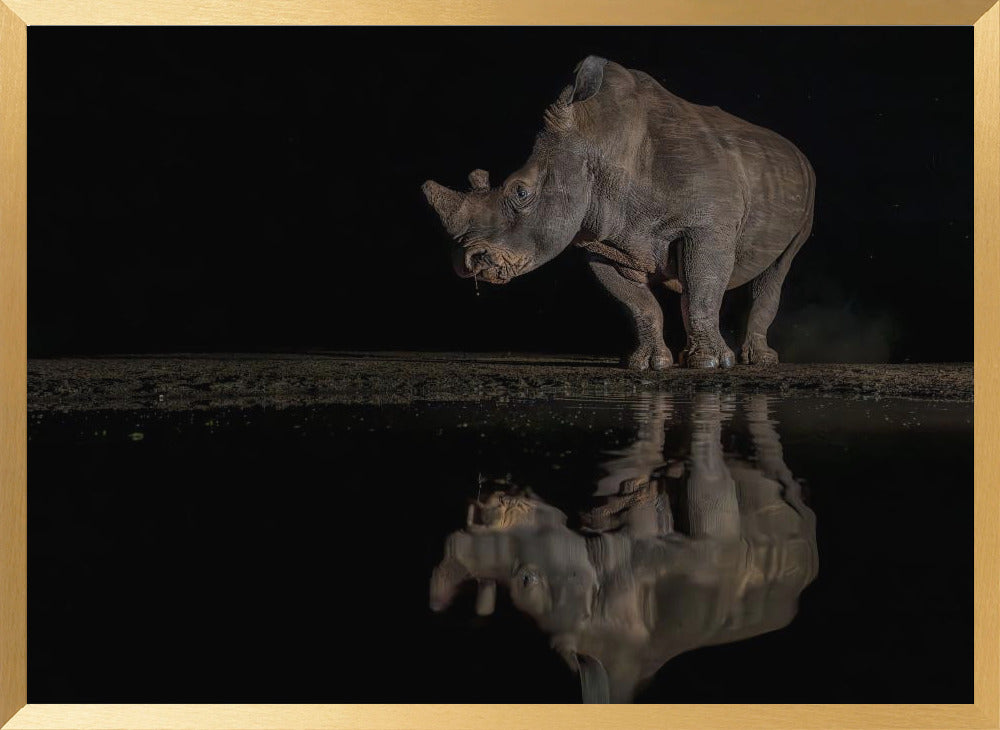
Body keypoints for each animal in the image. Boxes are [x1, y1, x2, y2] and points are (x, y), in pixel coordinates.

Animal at [422, 56, 815, 369]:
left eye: (521, 191)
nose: (467, 262)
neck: (597, 143)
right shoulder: (602, 241)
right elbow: (638, 304)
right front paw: (647, 364)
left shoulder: (707, 226)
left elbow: (701, 291)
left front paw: (709, 363)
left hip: (807, 190)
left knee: (778, 268)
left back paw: (759, 361)